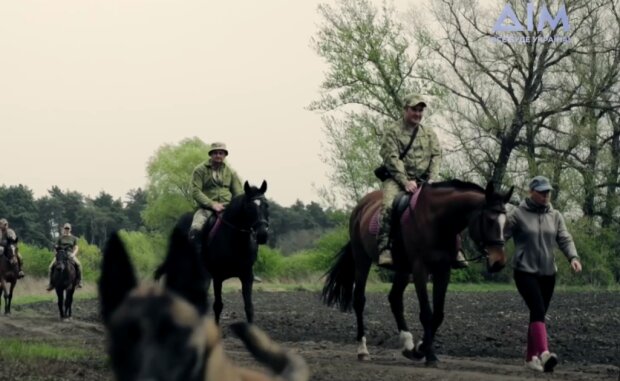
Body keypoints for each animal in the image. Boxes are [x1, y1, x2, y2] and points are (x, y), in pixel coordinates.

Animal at [156, 180, 268, 322]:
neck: (235, 242)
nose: (262, 234)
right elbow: (218, 306)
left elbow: (249, 307)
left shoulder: (247, 276)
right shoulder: (217, 277)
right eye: (249, 207)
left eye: (266, 205)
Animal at [322, 180, 512, 364]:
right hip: (362, 259)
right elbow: (426, 314)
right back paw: (363, 350)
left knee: (395, 299)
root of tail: (361, 205)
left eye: (507, 224)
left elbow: (438, 315)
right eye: (489, 220)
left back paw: (407, 345)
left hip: (403, 270)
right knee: (360, 300)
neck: (438, 221)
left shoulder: (443, 270)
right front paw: (430, 355)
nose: (499, 262)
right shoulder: (420, 269)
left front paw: (420, 348)